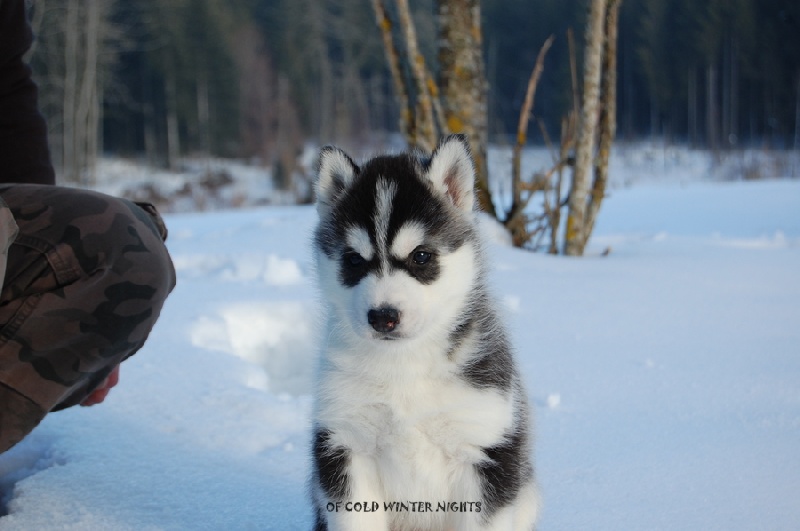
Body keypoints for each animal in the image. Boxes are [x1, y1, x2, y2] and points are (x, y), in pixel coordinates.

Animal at [310, 135, 539, 531]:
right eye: (353, 260)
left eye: (420, 256)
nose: (383, 317)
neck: (404, 366)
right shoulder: (345, 445)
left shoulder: (484, 449)